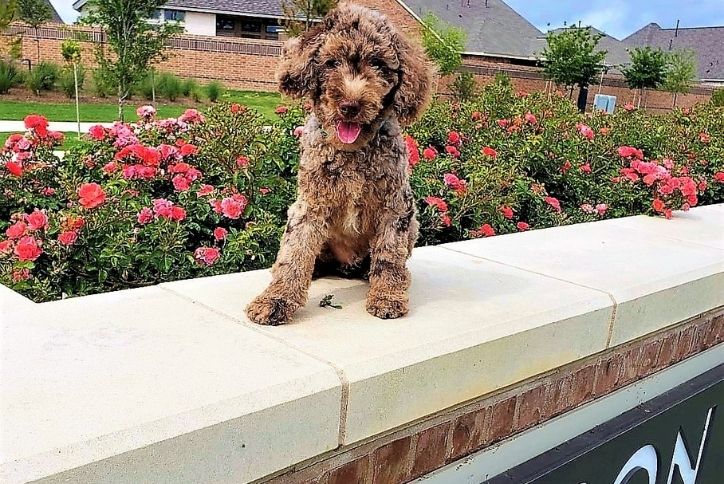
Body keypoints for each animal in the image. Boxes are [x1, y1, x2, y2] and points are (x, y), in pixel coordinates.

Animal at [246, 2, 432, 326]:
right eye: (332, 62)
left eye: (378, 64)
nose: (350, 105)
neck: (352, 151)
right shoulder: (309, 205)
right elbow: (294, 254)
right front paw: (274, 300)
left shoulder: (395, 206)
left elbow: (389, 255)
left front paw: (387, 297)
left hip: (412, 225)